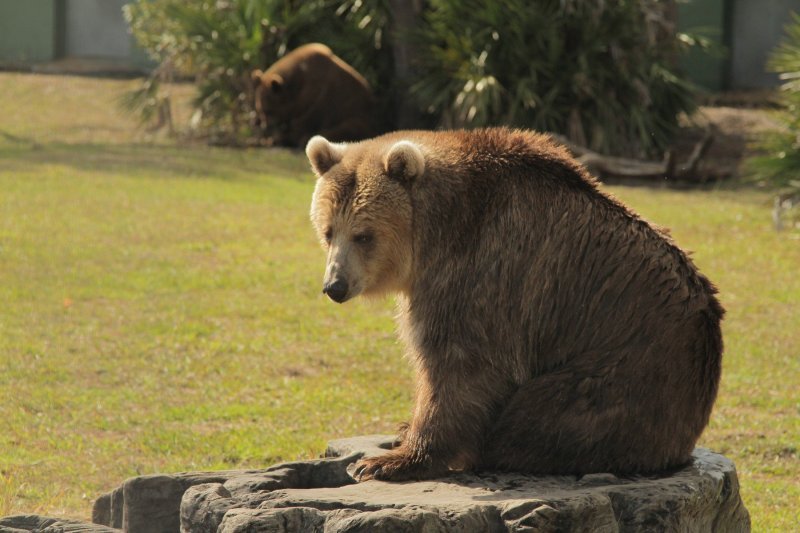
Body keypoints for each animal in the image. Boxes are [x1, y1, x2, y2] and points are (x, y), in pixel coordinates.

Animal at [306, 127, 724, 480]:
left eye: (364, 235)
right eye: (328, 231)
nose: (335, 285)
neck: (438, 230)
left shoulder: (481, 272)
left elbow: (459, 366)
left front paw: (390, 461)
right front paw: (401, 432)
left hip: (622, 371)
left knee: (545, 415)